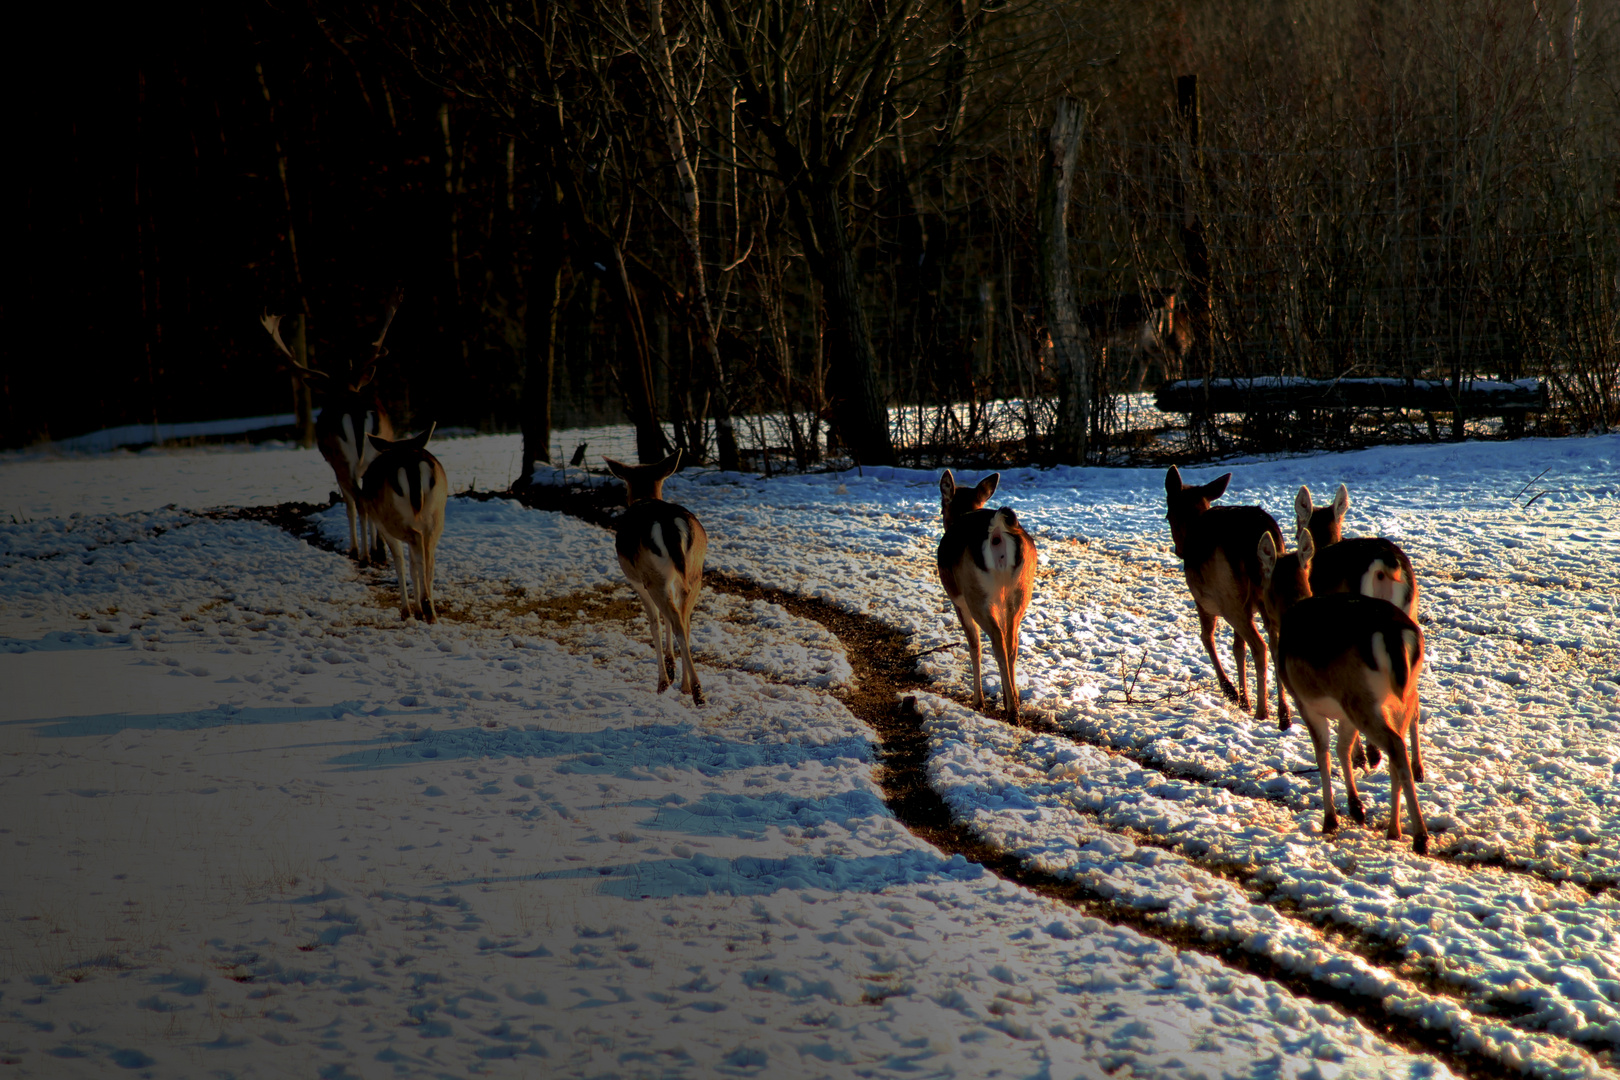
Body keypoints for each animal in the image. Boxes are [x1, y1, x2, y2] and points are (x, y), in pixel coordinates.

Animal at [260, 291, 400, 569]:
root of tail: (356, 411)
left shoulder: (335, 467)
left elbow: (348, 505)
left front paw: (355, 549)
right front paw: (375, 549)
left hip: (341, 459)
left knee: (359, 501)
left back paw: (364, 555)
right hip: (376, 452)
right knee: (371, 499)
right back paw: (378, 552)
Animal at [605, 453, 706, 705]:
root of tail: (669, 524)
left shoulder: (637, 582)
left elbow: (654, 623)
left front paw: (664, 680)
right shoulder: (673, 582)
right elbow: (668, 620)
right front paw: (671, 670)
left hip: (653, 577)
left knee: (677, 623)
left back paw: (696, 692)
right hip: (694, 573)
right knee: (684, 621)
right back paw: (687, 686)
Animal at [939, 472, 1036, 725]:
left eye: (942, 507)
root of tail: (997, 529)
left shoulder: (958, 601)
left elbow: (974, 644)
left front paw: (978, 700)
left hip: (976, 595)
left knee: (997, 642)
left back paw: (1011, 711)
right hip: (1020, 590)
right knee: (1012, 643)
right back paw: (1014, 702)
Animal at [1250, 531, 1432, 854]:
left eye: (1263, 577)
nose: (1262, 611)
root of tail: (1393, 634)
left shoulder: (1305, 701)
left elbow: (1323, 751)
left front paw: (1331, 819)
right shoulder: (1343, 709)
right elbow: (1342, 748)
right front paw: (1356, 808)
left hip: (1360, 697)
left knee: (1394, 746)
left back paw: (1420, 837)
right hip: (1398, 693)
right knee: (1404, 734)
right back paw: (1395, 829)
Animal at [1296, 485, 1425, 780]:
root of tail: (1386, 562)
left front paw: (1359, 756)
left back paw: (1370, 755)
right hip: (1410, 614)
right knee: (1411, 694)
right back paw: (1417, 768)